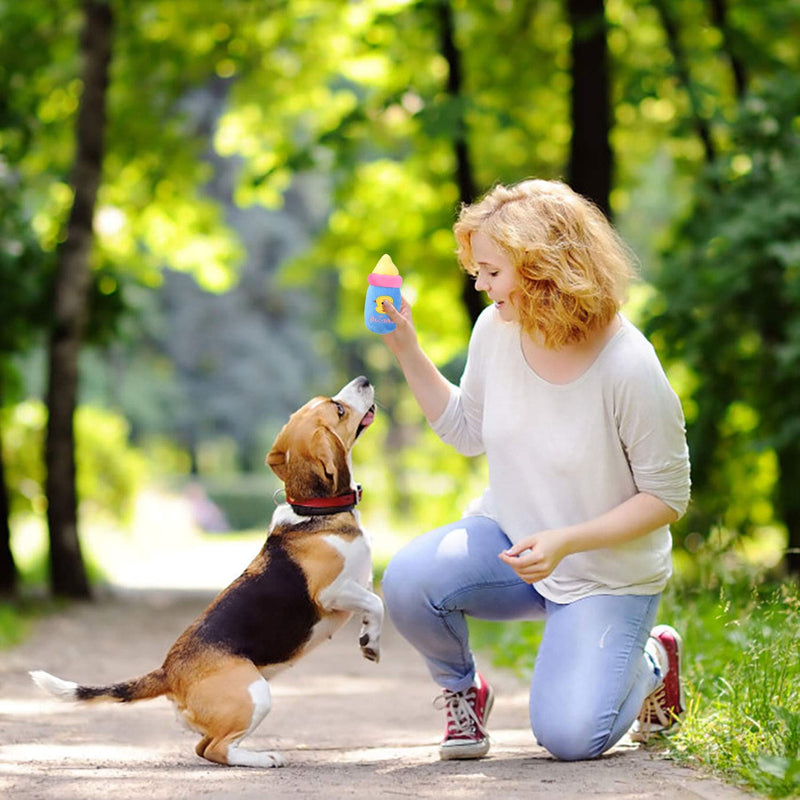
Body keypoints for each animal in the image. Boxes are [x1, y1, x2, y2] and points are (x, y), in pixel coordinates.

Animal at [29, 376, 382, 768]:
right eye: (338, 409)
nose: (364, 380)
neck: (315, 512)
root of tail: (168, 671)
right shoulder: (332, 592)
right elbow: (377, 602)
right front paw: (371, 641)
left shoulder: (360, 583)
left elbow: (372, 603)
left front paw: (369, 638)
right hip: (256, 694)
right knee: (217, 749)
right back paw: (264, 758)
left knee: (204, 748)